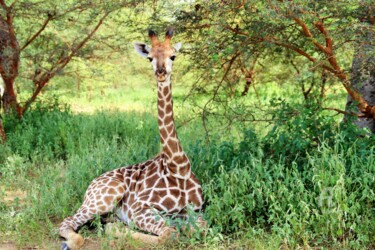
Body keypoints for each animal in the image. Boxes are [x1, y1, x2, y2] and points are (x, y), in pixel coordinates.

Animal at [59, 28, 206, 248]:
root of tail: (92, 183)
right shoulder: (139, 209)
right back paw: (73, 241)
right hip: (105, 196)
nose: (161, 73)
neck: (178, 167)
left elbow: (200, 228)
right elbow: (169, 234)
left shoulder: (195, 211)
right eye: (150, 58)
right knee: (68, 221)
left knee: (105, 224)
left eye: (173, 56)